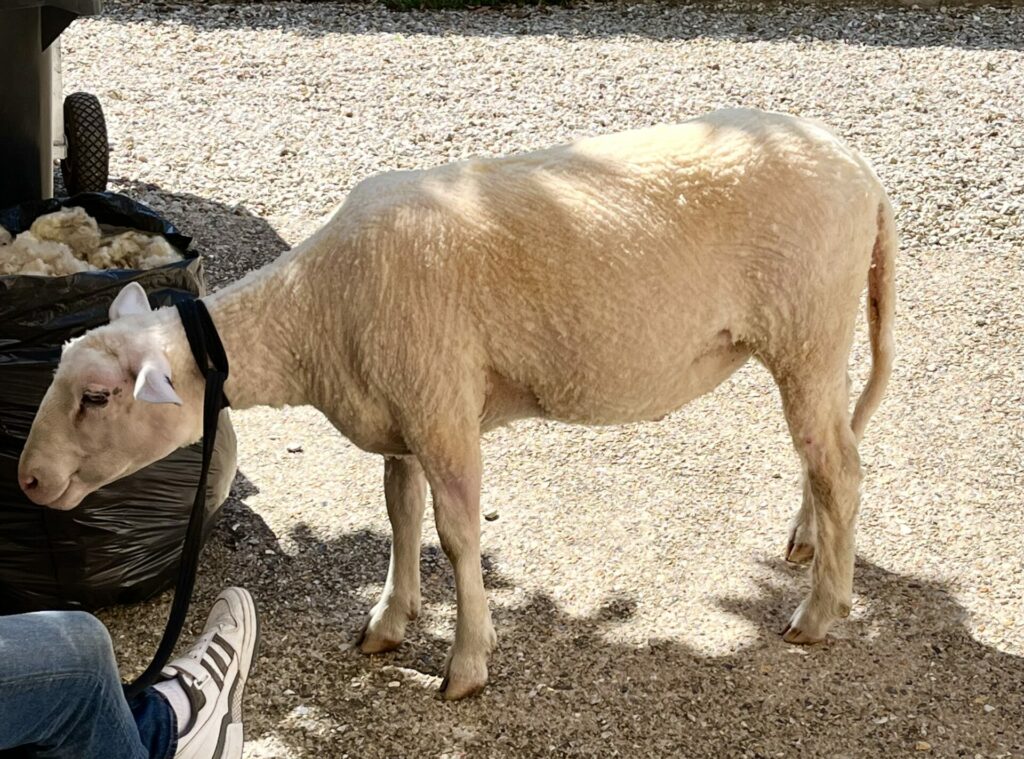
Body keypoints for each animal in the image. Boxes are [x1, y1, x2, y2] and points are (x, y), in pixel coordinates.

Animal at [18, 108, 896, 700]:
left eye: (96, 397)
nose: (28, 480)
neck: (313, 310)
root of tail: (860, 170)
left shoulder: (442, 405)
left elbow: (458, 533)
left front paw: (466, 663)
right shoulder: (401, 411)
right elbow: (400, 514)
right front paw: (389, 620)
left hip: (808, 324)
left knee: (842, 471)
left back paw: (820, 612)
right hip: (808, 337)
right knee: (827, 459)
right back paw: (809, 546)